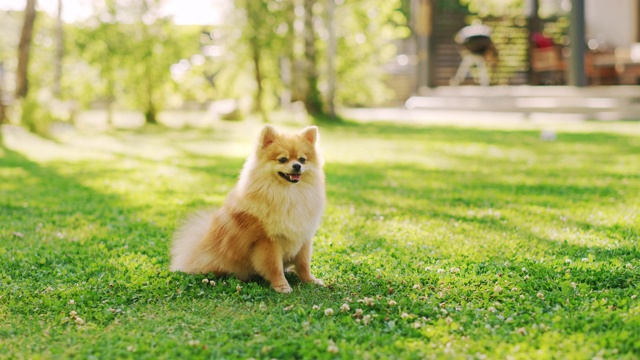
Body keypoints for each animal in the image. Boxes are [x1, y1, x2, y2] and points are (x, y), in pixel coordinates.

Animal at [170, 124, 324, 292]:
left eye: (302, 159)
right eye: (283, 159)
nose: (297, 166)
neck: (289, 194)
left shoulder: (303, 237)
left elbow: (303, 264)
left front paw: (310, 280)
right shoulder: (268, 242)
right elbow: (274, 266)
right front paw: (282, 286)